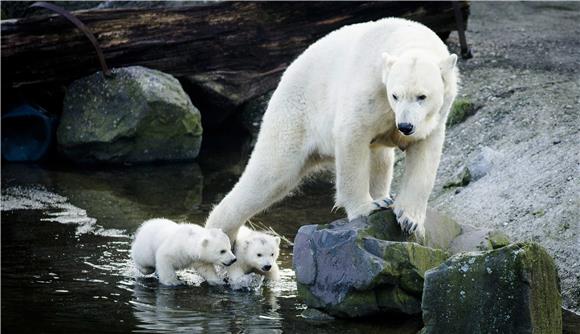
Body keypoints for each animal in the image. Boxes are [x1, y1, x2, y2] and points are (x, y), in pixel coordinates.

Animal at [207, 18, 458, 241]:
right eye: (395, 95)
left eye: (422, 96)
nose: (405, 126)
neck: (405, 37)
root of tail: (285, 74)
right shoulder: (370, 89)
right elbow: (352, 136)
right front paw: (367, 207)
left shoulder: (435, 115)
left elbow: (425, 153)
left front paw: (410, 219)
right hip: (295, 115)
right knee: (271, 174)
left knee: (380, 160)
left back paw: (384, 196)